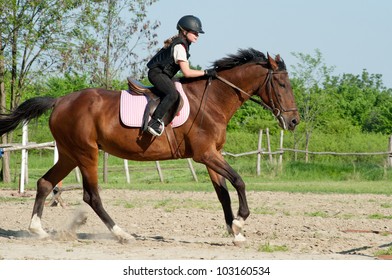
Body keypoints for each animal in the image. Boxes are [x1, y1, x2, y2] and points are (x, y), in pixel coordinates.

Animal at [0, 48, 298, 245]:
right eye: (282, 84)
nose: (293, 121)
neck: (213, 99)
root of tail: (60, 101)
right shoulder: (206, 155)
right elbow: (239, 181)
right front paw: (239, 221)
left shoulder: (213, 155)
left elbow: (223, 193)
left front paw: (235, 233)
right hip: (87, 153)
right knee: (91, 196)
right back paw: (121, 234)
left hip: (70, 154)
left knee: (44, 183)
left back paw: (37, 230)